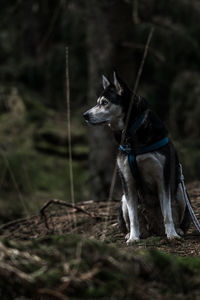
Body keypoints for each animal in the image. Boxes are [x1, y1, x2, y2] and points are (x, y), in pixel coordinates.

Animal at [83, 72, 191, 244]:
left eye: (104, 102)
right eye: (97, 102)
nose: (85, 115)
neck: (131, 134)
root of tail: (153, 229)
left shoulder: (163, 177)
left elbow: (167, 212)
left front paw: (172, 234)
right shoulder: (128, 182)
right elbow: (134, 217)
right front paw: (134, 238)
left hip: (180, 191)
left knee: (175, 217)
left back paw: (177, 230)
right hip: (123, 200)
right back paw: (131, 234)